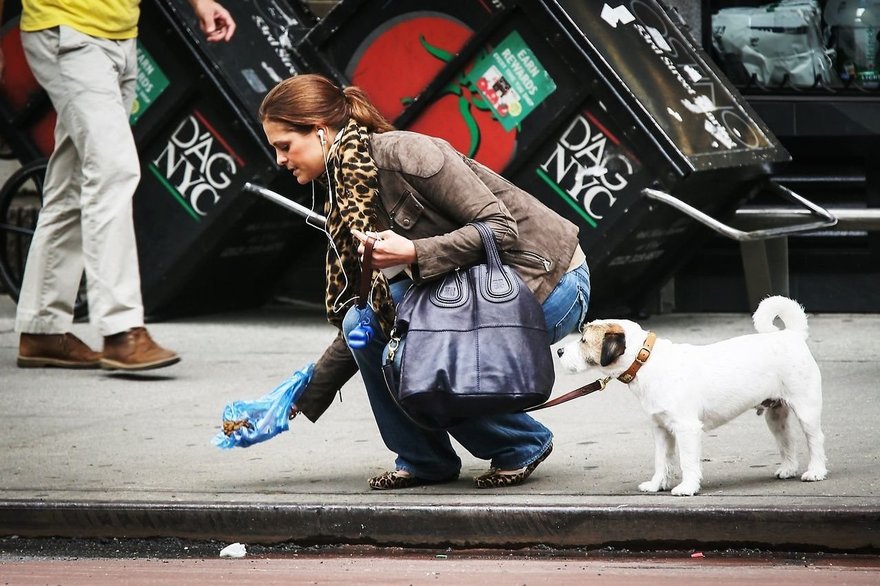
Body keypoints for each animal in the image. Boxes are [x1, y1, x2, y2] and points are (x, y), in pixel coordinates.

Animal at [560, 296, 828, 492]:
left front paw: (687, 487)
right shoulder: (661, 429)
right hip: (776, 415)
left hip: (806, 408)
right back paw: (788, 468)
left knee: (815, 439)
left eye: (583, 340)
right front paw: (657, 484)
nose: (560, 351)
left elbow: (687, 461)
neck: (646, 361)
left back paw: (816, 471)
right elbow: (662, 460)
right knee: (787, 440)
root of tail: (792, 335)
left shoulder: (686, 428)